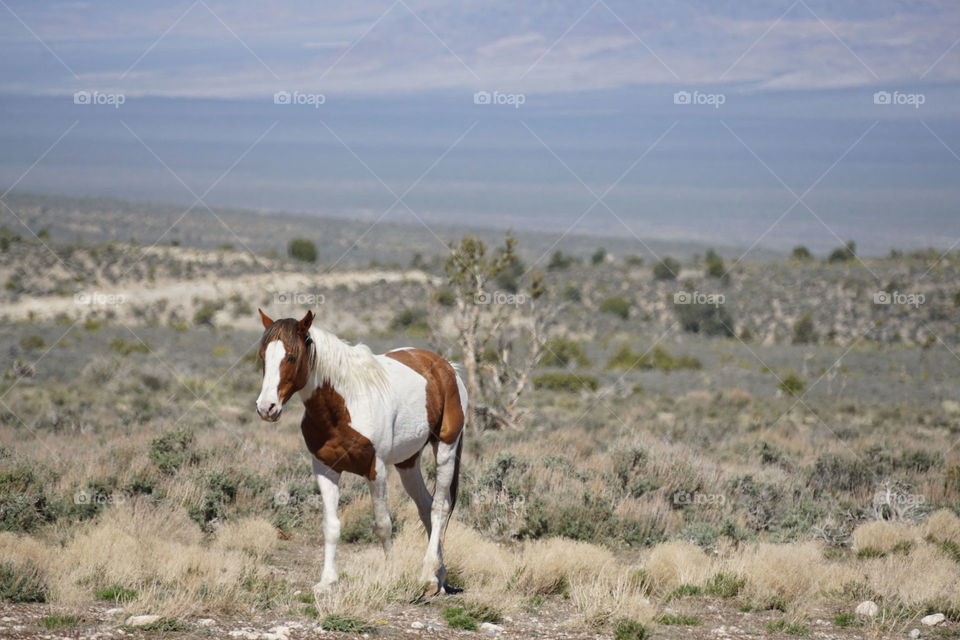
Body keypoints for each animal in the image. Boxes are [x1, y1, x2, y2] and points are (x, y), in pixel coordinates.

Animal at [254, 308, 466, 595]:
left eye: (291, 357)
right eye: (263, 356)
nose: (266, 408)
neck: (343, 407)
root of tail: (447, 367)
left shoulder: (376, 469)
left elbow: (383, 524)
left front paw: (391, 574)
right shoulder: (325, 469)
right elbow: (331, 526)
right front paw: (327, 581)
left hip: (445, 449)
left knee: (439, 508)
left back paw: (427, 575)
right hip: (408, 464)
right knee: (425, 506)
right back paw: (438, 577)